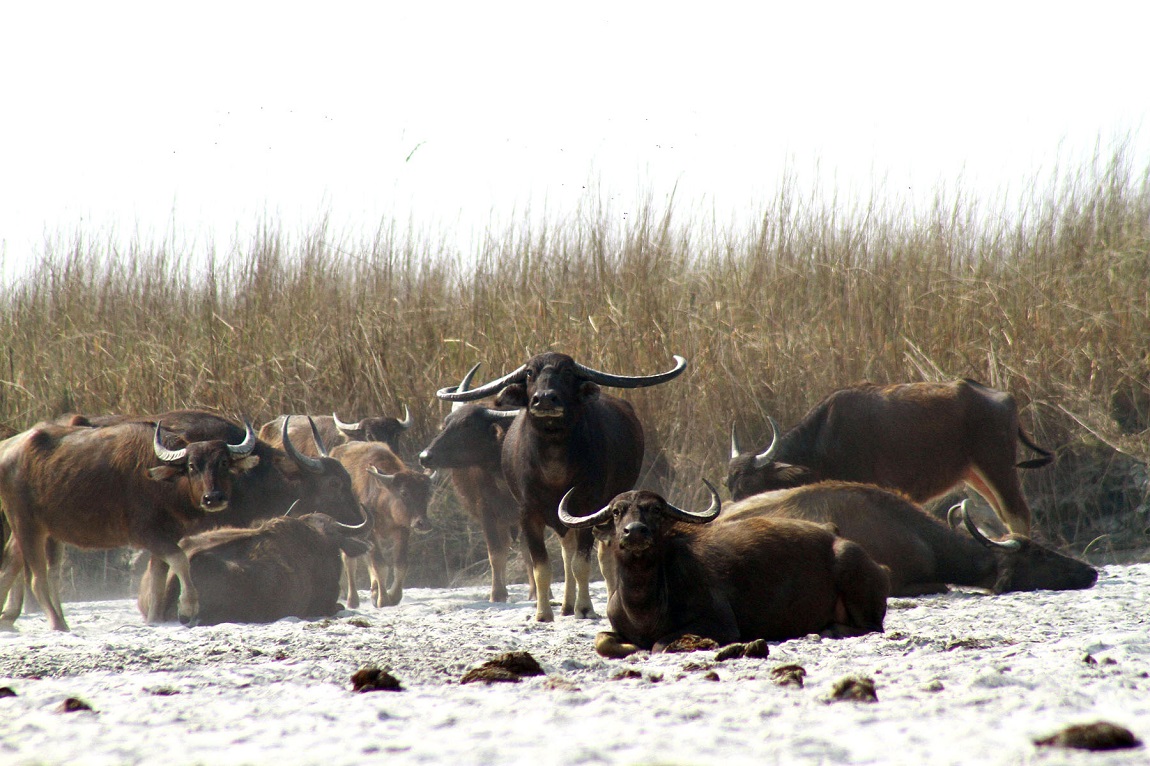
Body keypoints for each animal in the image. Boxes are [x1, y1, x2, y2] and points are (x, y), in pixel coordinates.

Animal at [0, 418, 258, 625]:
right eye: (192, 466)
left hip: (44, 531)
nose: (213, 498)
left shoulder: (167, 536)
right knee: (37, 579)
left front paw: (155, 620)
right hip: (26, 524)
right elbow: (181, 560)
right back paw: (58, 625)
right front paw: (188, 608)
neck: (159, 482)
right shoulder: (147, 535)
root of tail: (7, 449)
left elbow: (157, 579)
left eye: (223, 463)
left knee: (24, 566)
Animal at [331, 439, 432, 607]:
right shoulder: (370, 530)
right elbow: (380, 565)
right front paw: (383, 599)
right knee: (350, 560)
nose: (423, 524)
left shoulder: (402, 530)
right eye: (404, 492)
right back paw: (353, 599)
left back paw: (373, 591)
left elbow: (400, 564)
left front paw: (392, 595)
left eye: (428, 494)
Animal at [437, 351, 690, 621]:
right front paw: (542, 612)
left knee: (601, 555)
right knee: (566, 550)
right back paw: (567, 605)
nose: (544, 399)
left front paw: (585, 608)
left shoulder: (589, 509)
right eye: (530, 373)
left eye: (567, 372)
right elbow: (542, 566)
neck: (554, 468)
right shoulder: (527, 515)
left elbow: (582, 563)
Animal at [726, 379, 1053, 533]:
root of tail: (1003, 398)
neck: (823, 437)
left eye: (751, 485)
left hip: (997, 466)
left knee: (1017, 514)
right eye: (730, 486)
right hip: (975, 474)